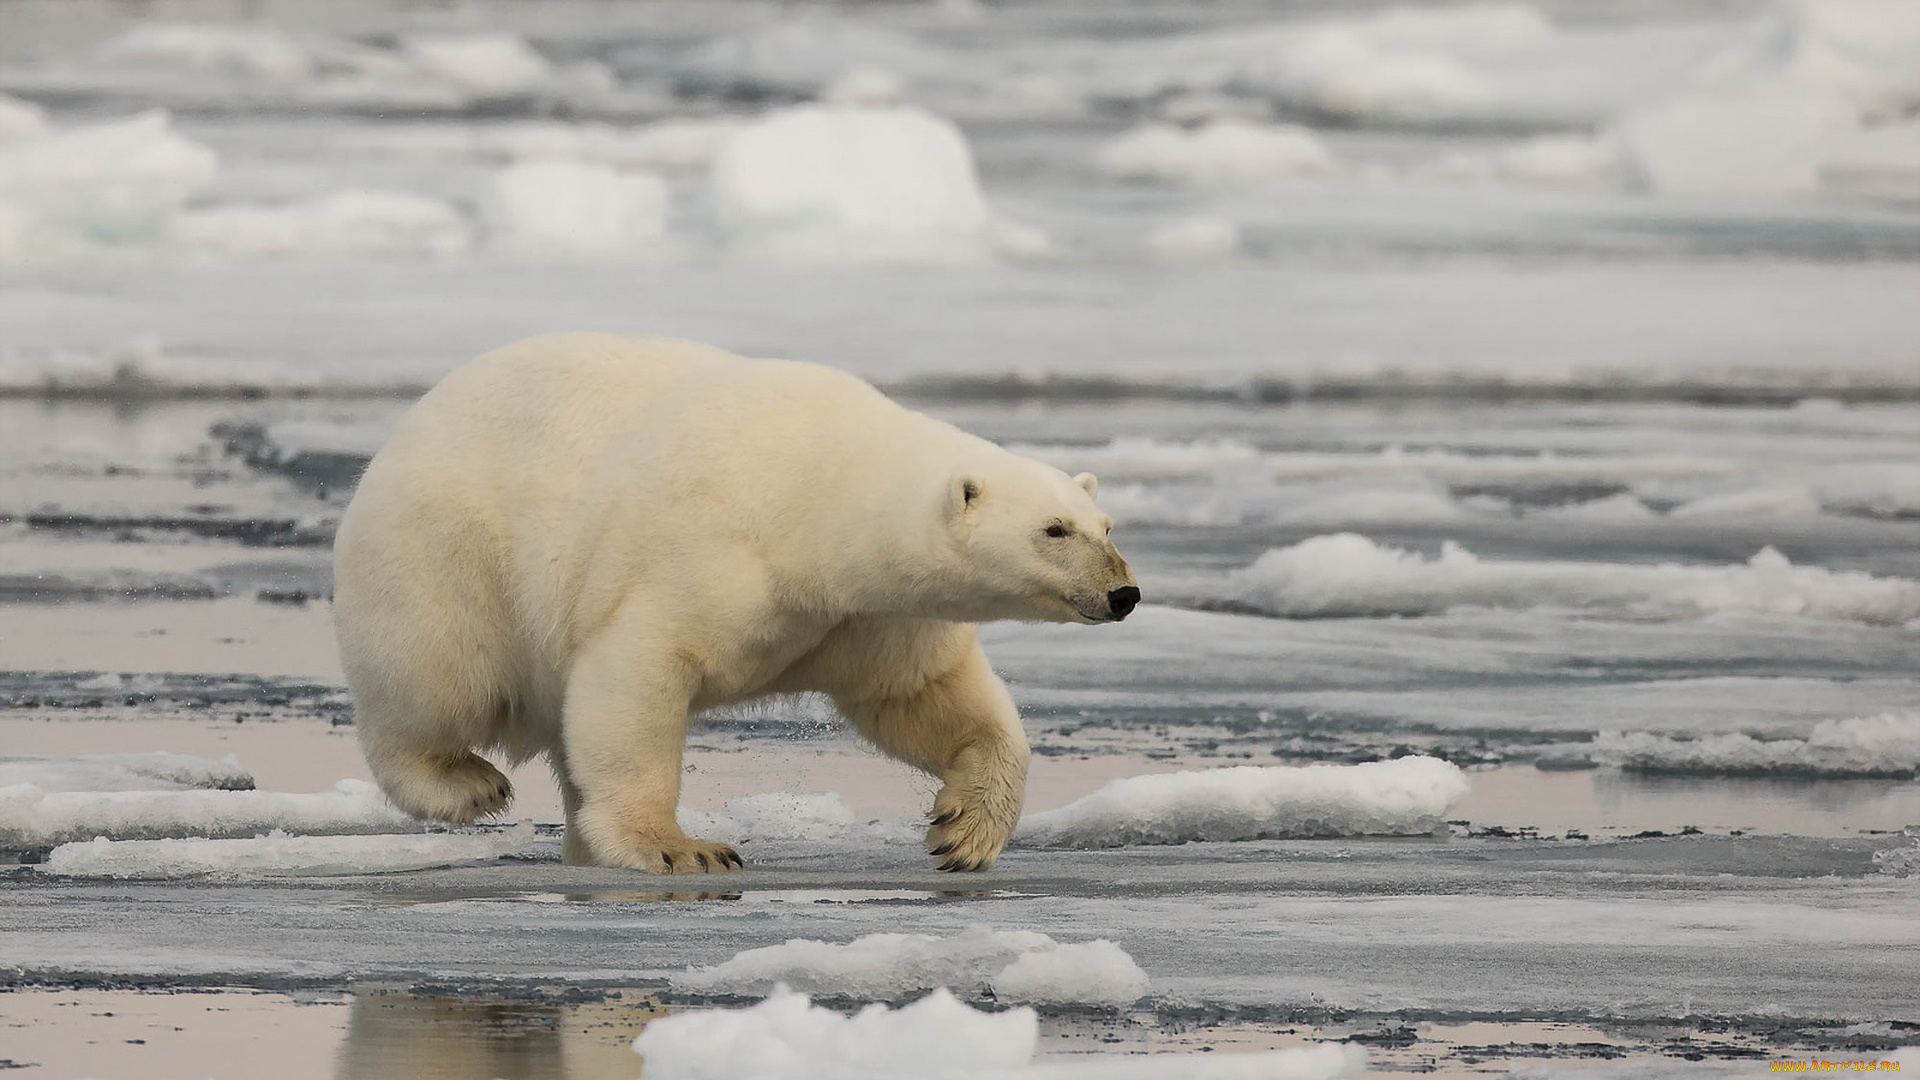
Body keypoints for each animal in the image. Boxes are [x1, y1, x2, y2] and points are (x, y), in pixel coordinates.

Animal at [334, 332, 1136, 868]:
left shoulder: (863, 614)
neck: (816, 489)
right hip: (448, 552)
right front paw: (680, 848)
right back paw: (464, 785)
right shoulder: (708, 551)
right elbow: (638, 674)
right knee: (439, 678)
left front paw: (963, 830)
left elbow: (924, 695)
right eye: (1053, 529)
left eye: (1105, 525)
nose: (1123, 592)